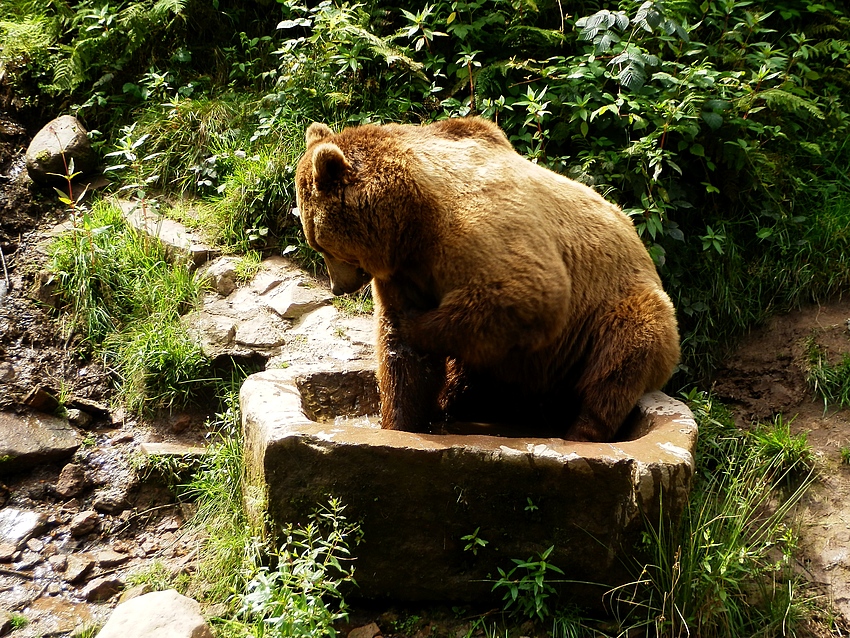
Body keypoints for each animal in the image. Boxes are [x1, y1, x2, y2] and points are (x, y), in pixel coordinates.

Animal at [294, 117, 680, 442]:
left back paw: (580, 432)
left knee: (622, 357)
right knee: (472, 381)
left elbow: (531, 294)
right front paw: (401, 423)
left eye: (321, 244)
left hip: (611, 314)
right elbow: (402, 361)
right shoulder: (405, 270)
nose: (337, 286)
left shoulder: (474, 230)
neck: (411, 219)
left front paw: (415, 326)